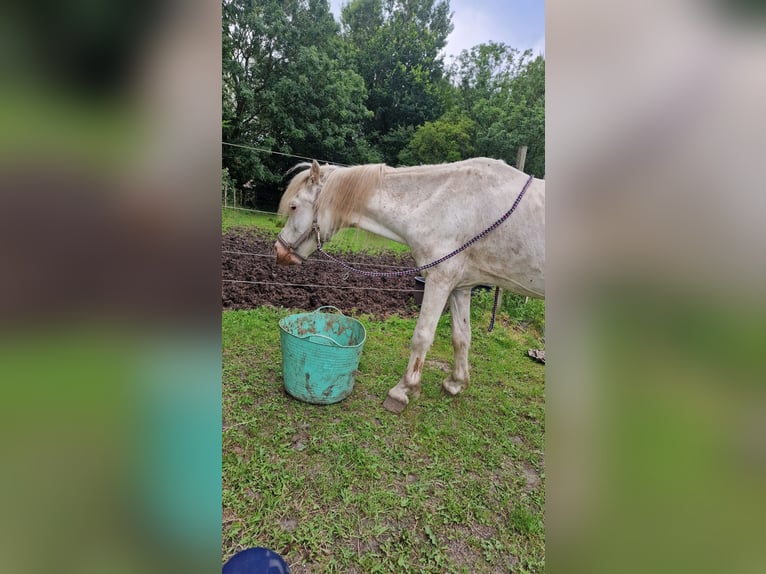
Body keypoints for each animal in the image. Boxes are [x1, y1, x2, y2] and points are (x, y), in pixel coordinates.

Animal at [276, 159, 544, 414]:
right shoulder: (460, 287)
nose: (279, 251)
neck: (444, 203)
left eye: (294, 206)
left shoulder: (439, 281)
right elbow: (461, 336)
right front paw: (455, 384)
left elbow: (422, 336)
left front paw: (403, 391)